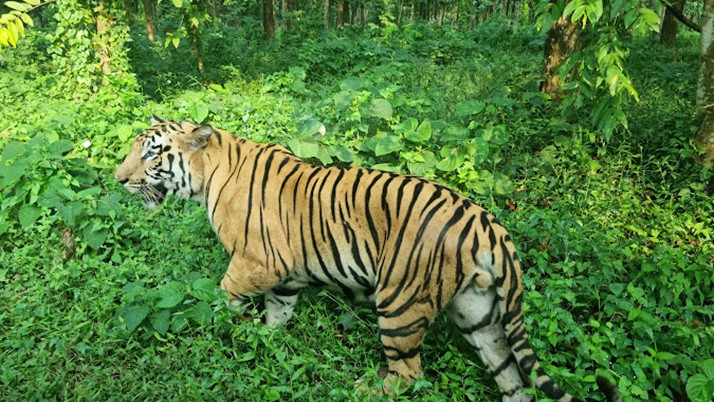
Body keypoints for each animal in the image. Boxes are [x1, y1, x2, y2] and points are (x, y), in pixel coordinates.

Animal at [115, 114, 616, 400]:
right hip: (481, 315)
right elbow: (278, 314)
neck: (207, 176)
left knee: (409, 372)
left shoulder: (256, 263)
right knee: (512, 379)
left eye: (153, 153)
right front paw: (265, 342)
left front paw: (229, 332)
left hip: (399, 303)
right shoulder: (286, 276)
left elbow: (222, 296)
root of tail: (486, 223)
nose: (118, 179)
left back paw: (363, 389)